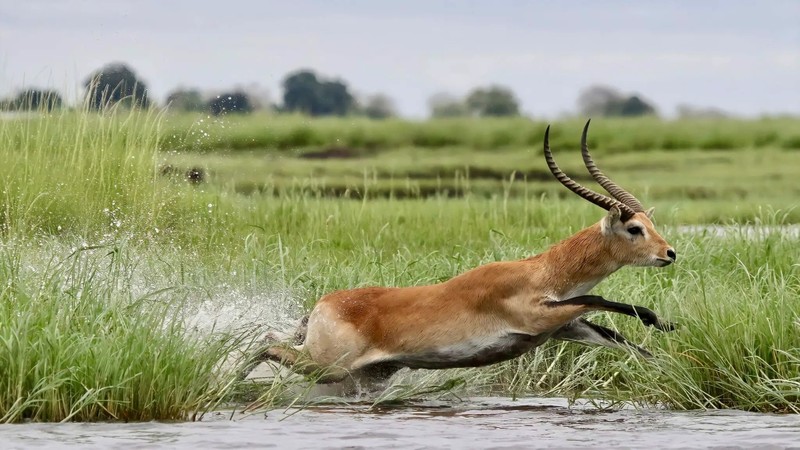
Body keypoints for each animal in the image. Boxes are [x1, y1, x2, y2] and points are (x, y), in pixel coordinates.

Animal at [242, 121, 676, 384]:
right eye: (635, 228)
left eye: (649, 223)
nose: (670, 253)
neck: (541, 271)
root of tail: (323, 304)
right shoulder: (538, 315)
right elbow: (598, 297)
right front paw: (661, 321)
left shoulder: (566, 327)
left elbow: (625, 341)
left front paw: (668, 343)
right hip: (328, 366)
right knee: (265, 343)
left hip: (359, 372)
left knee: (269, 337)